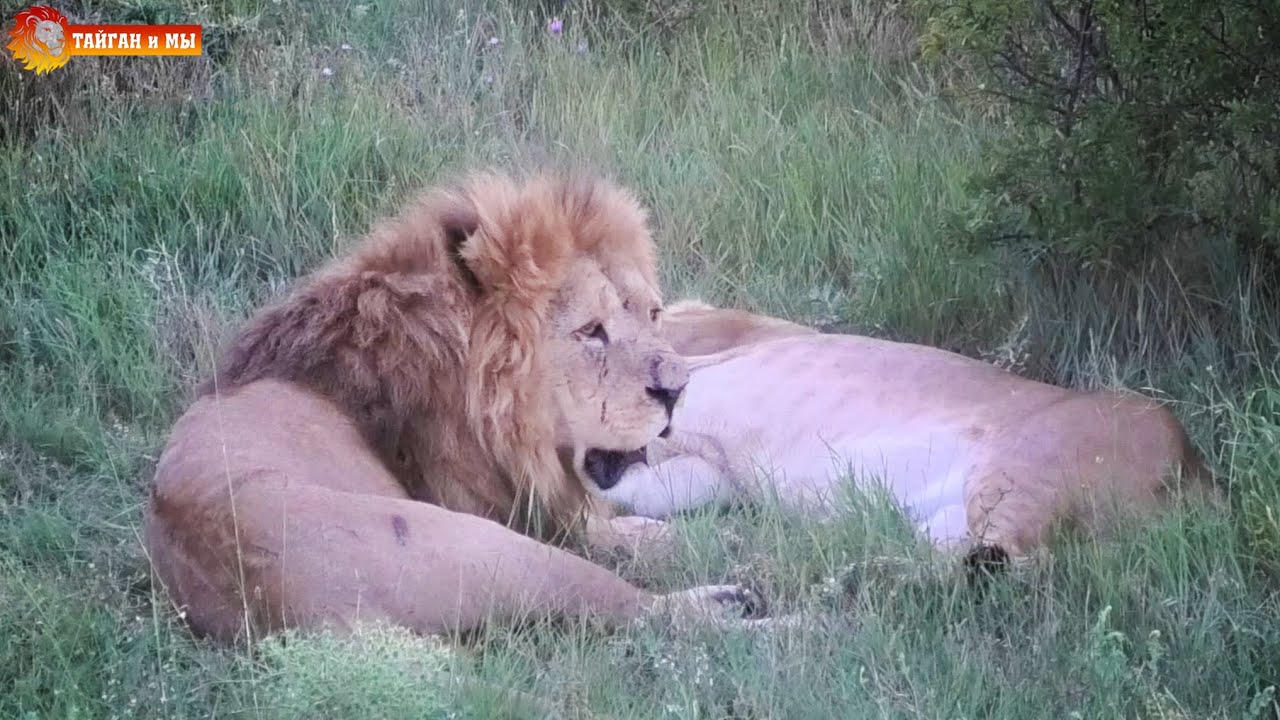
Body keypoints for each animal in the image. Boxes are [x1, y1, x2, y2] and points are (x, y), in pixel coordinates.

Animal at [143, 174, 767, 644]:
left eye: (653, 314)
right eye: (592, 331)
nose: (679, 388)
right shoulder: (497, 503)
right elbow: (597, 531)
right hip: (491, 550)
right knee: (642, 611)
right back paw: (749, 612)